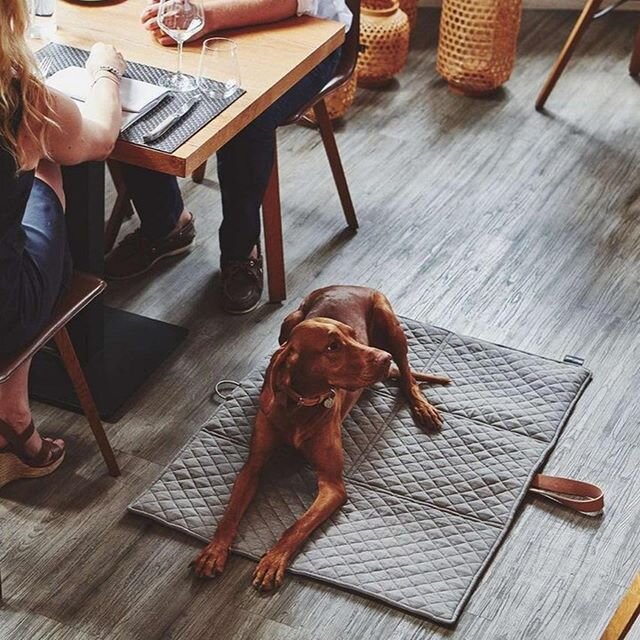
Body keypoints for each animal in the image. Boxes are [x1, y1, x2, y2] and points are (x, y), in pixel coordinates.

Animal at [192, 284, 448, 592]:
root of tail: (350, 285)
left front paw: (273, 560)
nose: (383, 358)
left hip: (391, 327)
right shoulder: (253, 466)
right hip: (289, 320)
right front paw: (214, 551)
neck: (301, 404)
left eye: (352, 335)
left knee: (408, 376)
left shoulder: (333, 486)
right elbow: (230, 513)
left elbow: (298, 525)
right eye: (332, 347)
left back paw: (423, 408)